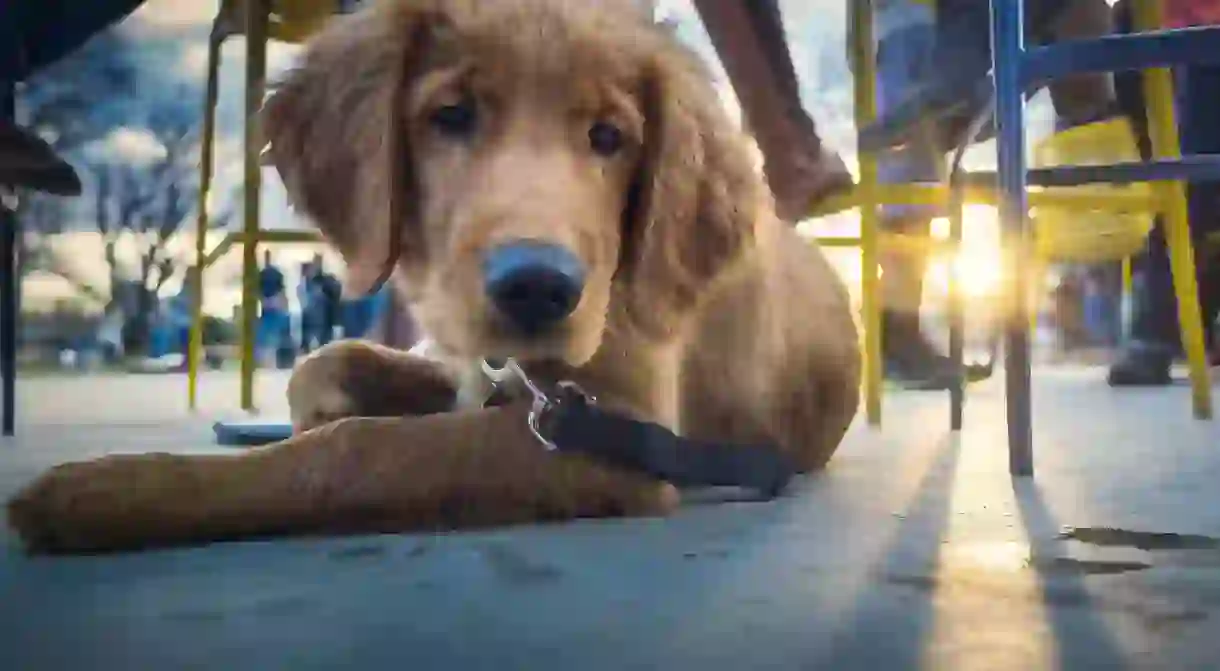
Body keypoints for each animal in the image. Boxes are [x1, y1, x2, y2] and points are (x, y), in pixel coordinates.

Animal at [11, 0, 868, 553]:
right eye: (451, 114)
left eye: (610, 137)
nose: (537, 287)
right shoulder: (473, 364)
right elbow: (327, 362)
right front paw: (321, 405)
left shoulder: (615, 427)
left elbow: (356, 452)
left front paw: (110, 490)